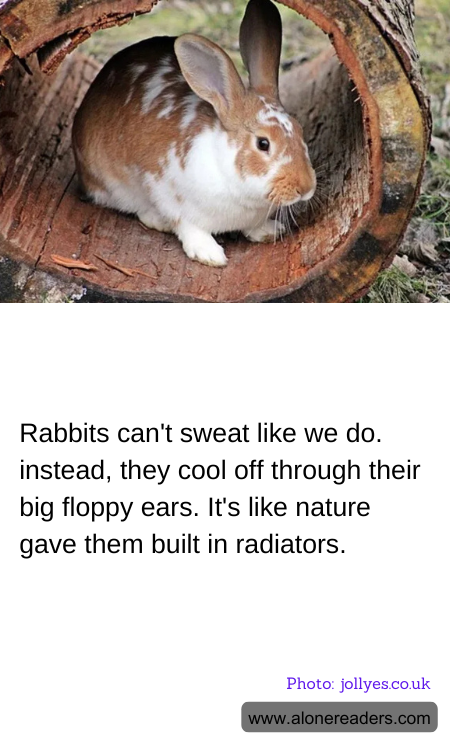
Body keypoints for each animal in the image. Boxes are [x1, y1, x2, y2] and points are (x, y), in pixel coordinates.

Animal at [72, 0, 316, 267]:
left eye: (300, 130)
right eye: (263, 143)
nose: (305, 188)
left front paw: (269, 231)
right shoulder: (170, 197)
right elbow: (188, 227)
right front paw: (210, 255)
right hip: (112, 184)